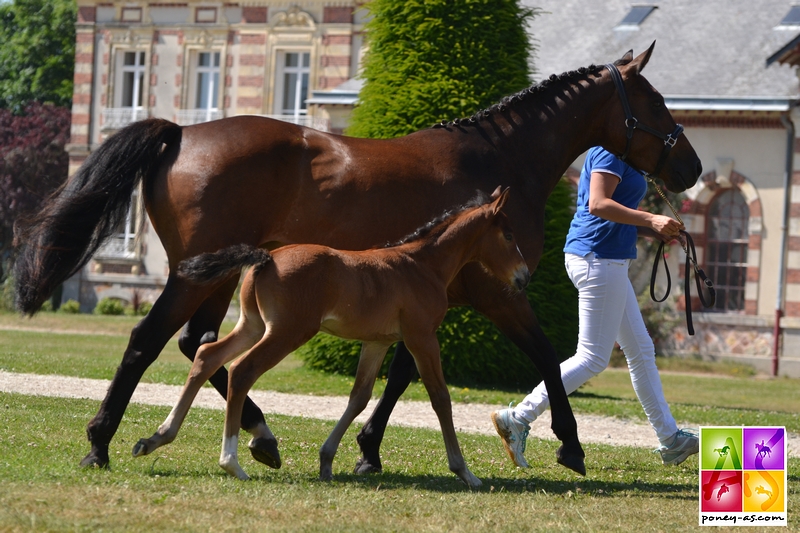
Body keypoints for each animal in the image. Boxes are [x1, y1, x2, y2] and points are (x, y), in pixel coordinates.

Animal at [134, 190, 528, 486]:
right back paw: (231, 461)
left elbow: (359, 397)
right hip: (288, 332)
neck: (422, 265)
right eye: (508, 235)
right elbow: (440, 397)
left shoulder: (377, 342)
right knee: (241, 370)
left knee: (208, 356)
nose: (523, 277)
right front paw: (465, 472)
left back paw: (156, 438)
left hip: (253, 325)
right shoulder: (421, 337)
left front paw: (326, 461)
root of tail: (265, 257)